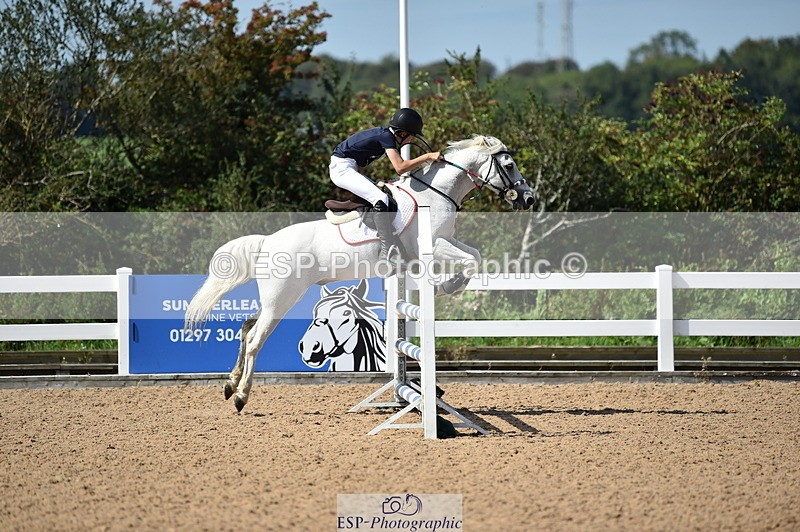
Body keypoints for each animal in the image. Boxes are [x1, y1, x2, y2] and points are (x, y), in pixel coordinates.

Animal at [184, 135, 535, 412]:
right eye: (509, 165)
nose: (529, 198)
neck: (435, 194)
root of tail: (268, 241)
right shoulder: (432, 246)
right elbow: (468, 261)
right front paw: (447, 285)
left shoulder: (446, 241)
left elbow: (474, 255)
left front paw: (452, 283)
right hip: (281, 299)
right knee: (256, 338)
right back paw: (241, 395)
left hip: (277, 298)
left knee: (246, 328)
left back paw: (230, 384)